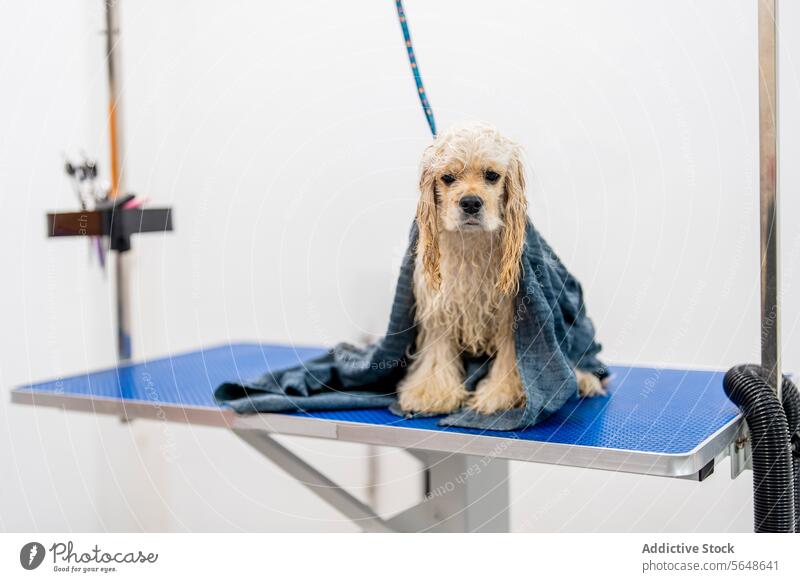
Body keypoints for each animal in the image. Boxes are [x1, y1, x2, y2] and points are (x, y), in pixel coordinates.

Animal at [396, 122, 604, 416]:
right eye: (447, 177)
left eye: (492, 176)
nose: (471, 202)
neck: (472, 244)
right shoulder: (440, 306)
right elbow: (438, 354)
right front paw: (431, 393)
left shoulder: (511, 312)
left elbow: (510, 357)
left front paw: (500, 395)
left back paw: (584, 379)